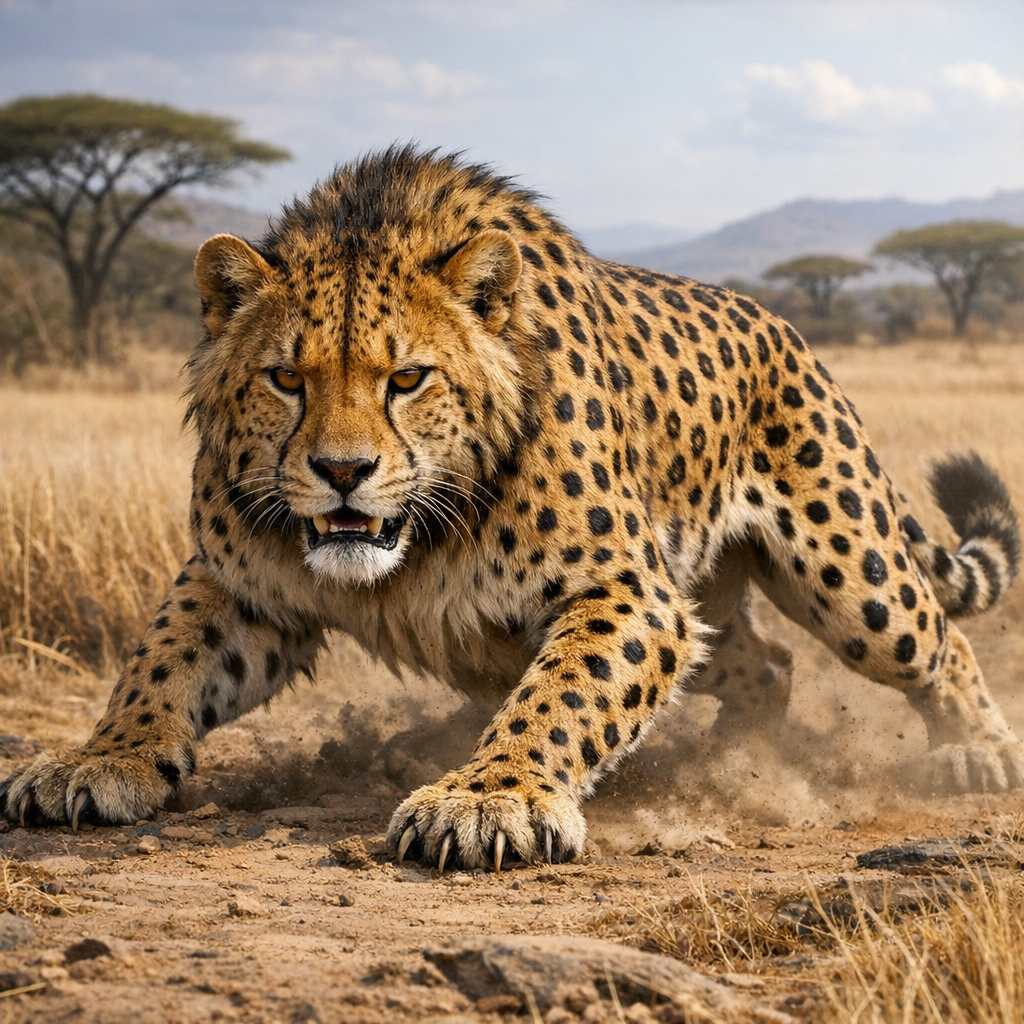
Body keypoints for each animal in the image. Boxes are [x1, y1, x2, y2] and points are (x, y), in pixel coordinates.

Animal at [3, 146, 1021, 872]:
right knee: (766, 664)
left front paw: (491, 796)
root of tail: (783, 323)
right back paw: (739, 760)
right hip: (713, 605)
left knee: (937, 639)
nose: (342, 471)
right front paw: (102, 759)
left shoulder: (630, 593)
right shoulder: (239, 581)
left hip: (851, 581)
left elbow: (566, 692)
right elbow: (161, 663)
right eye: (286, 379)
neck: (416, 537)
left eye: (407, 378)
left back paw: (973, 754)